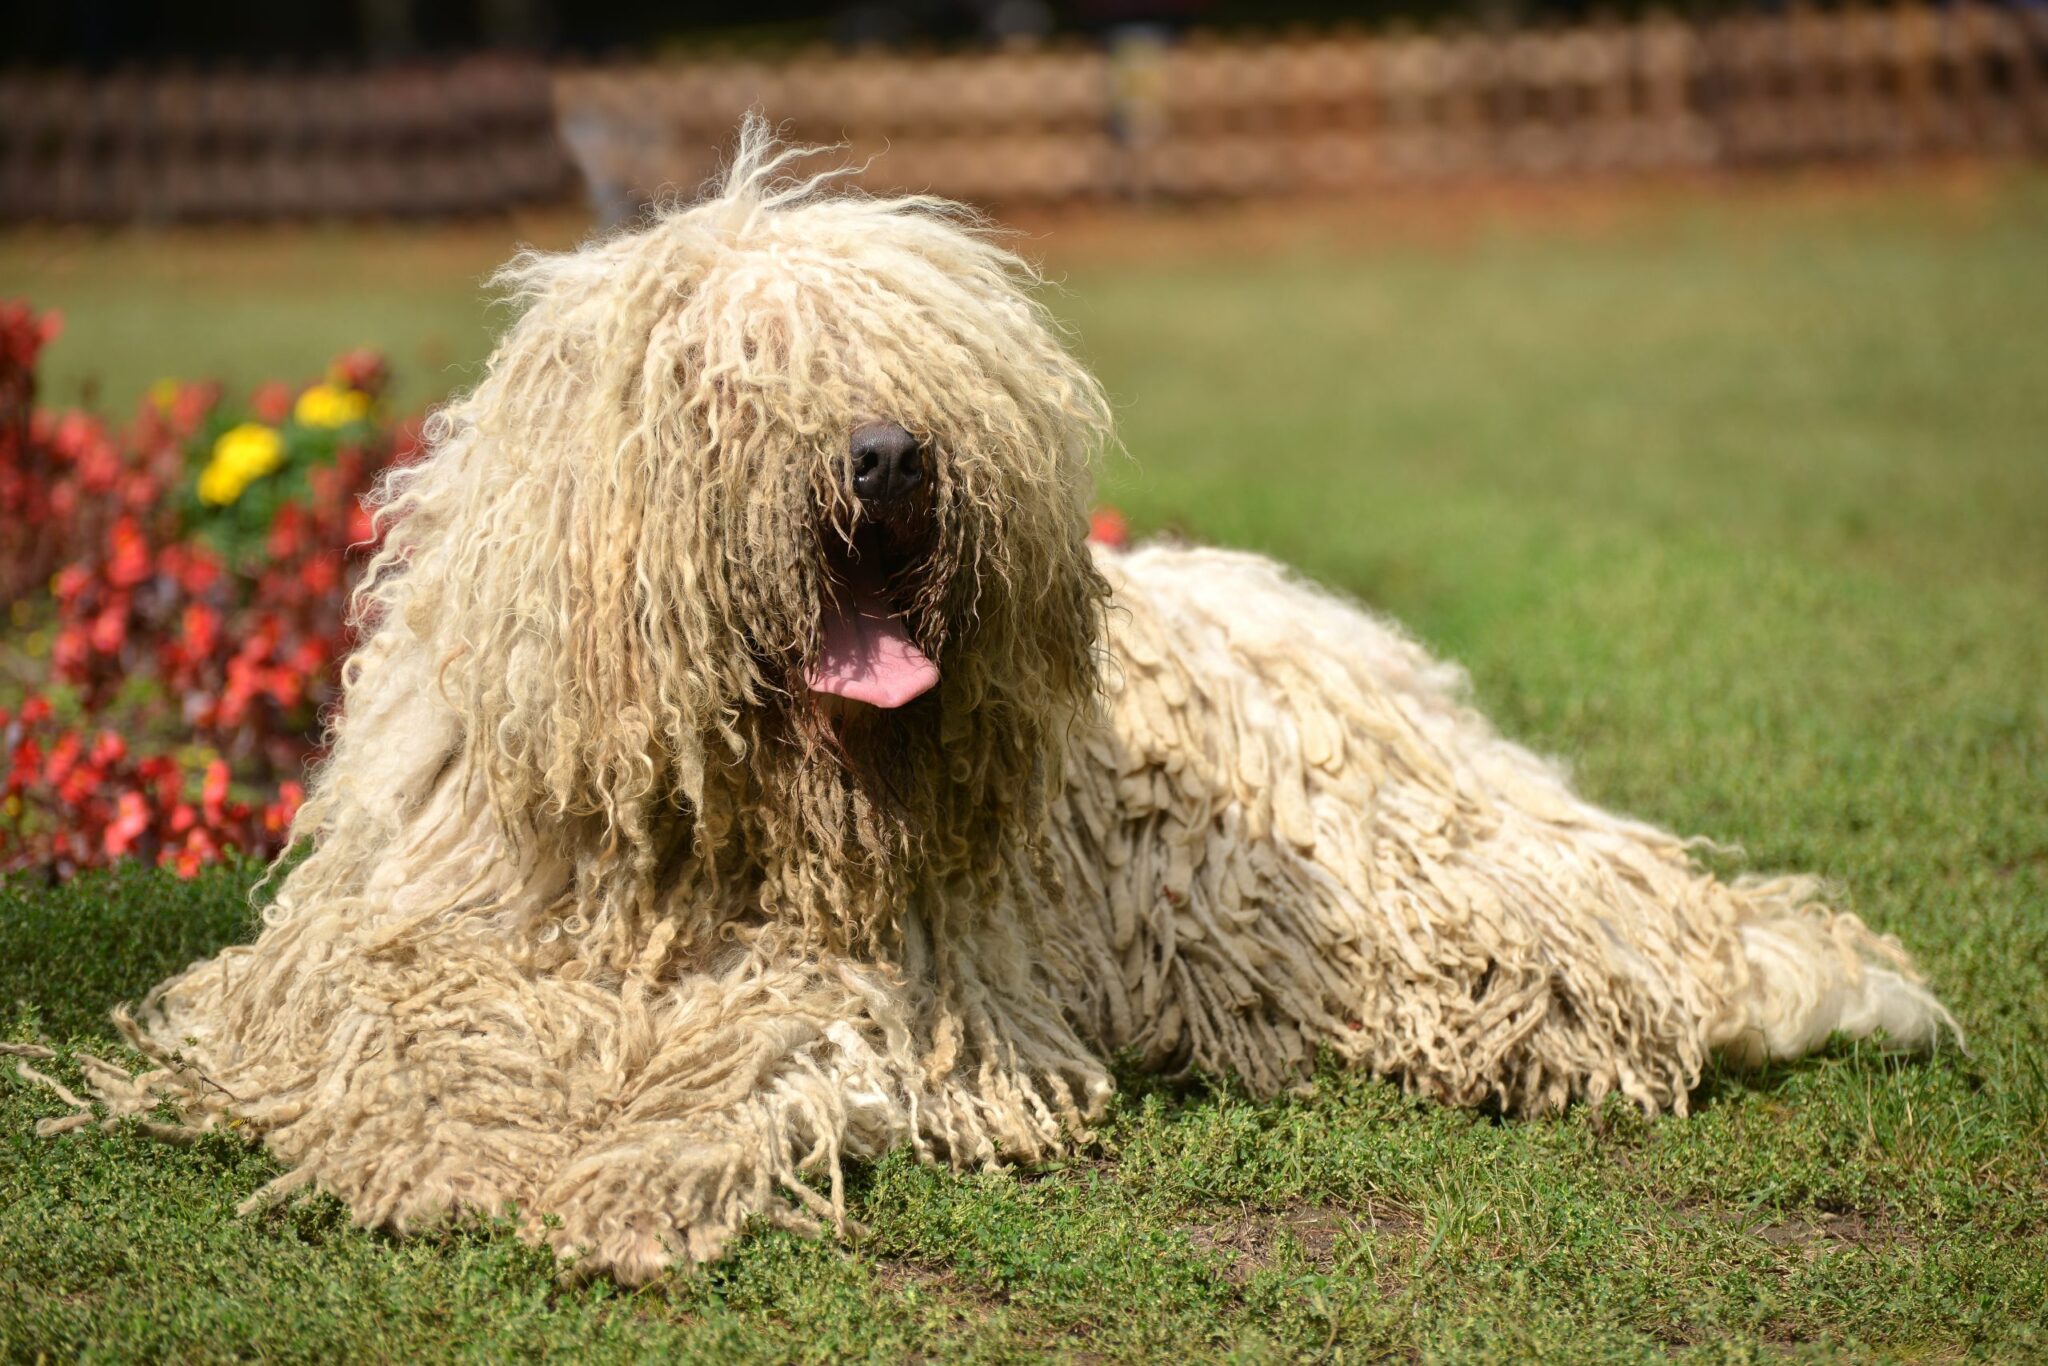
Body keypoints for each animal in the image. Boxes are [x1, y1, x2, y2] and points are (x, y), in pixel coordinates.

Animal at [64, 122, 1949, 1286]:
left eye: (927, 375)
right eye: (730, 381)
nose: (891, 454)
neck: (715, 836)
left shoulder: (866, 985)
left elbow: (743, 1060)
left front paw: (616, 1164)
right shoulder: (401, 932)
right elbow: (386, 1022)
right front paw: (445, 1127)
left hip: (1435, 898)